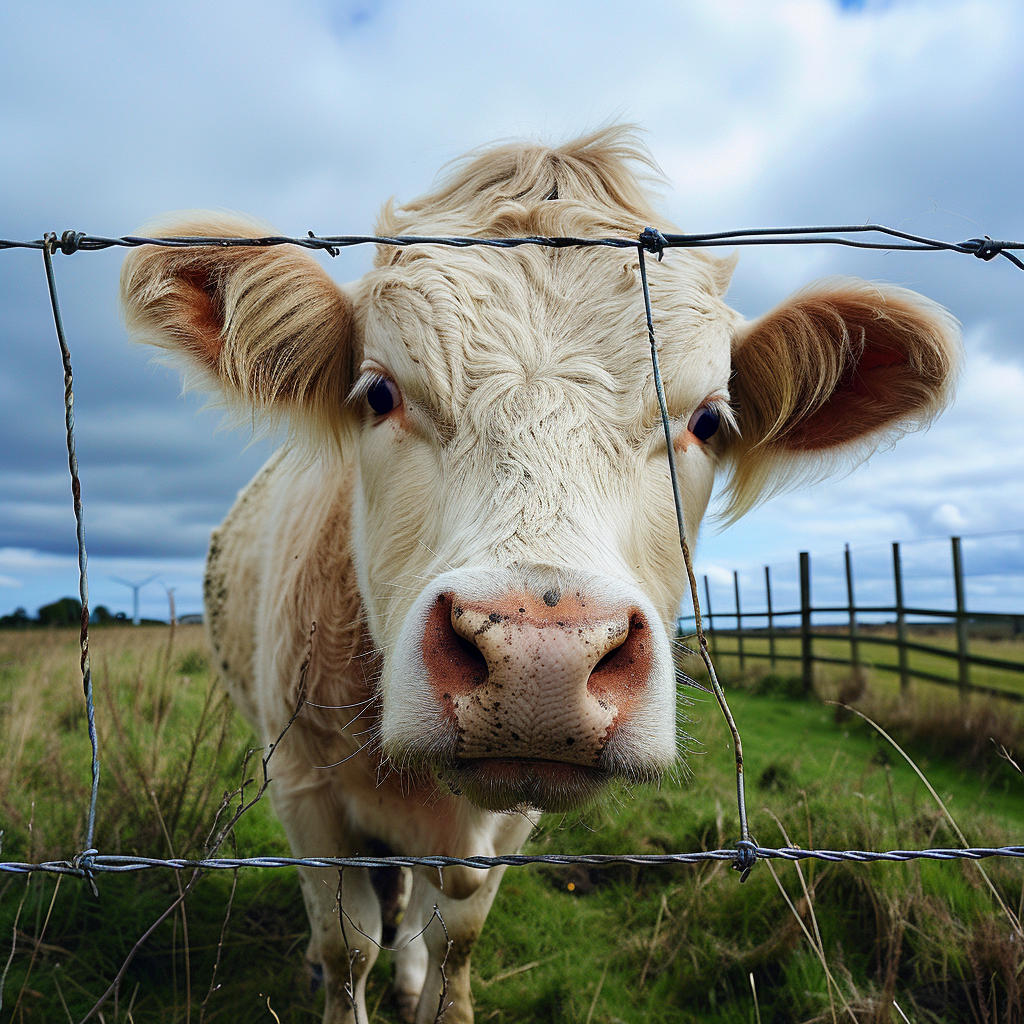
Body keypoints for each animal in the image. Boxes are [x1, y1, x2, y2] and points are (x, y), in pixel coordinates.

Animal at [119, 128, 958, 1024]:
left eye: (707, 421)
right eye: (378, 393)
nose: (540, 662)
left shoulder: (508, 822)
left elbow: (457, 936)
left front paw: (429, 989)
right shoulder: (301, 786)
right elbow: (346, 947)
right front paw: (339, 970)